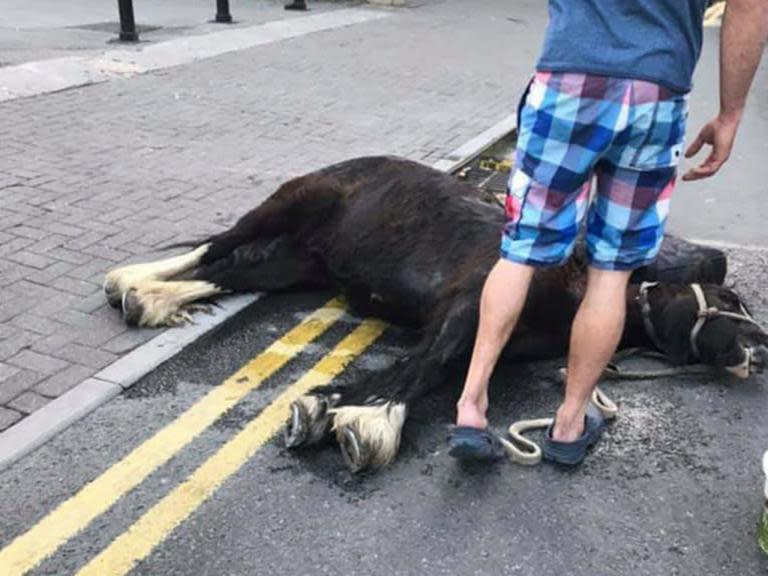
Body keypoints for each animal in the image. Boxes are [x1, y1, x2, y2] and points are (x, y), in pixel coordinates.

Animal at [103, 154, 768, 472]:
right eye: (729, 302)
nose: (760, 349)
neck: (573, 280)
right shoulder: (468, 306)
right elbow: (428, 367)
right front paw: (362, 423)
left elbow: (429, 367)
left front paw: (335, 408)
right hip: (290, 206)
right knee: (215, 249)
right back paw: (132, 283)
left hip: (296, 262)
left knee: (230, 269)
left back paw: (151, 297)